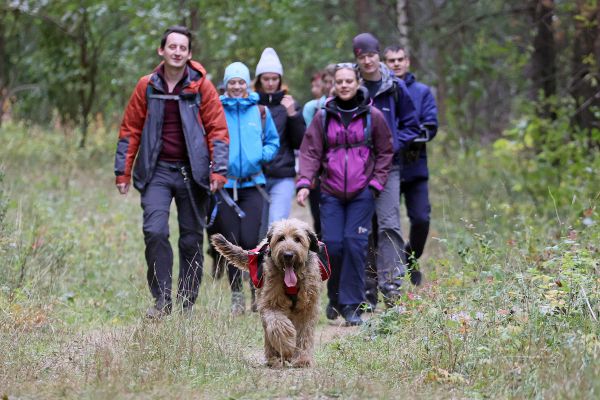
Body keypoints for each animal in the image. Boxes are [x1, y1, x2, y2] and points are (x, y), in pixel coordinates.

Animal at [211, 219, 324, 368]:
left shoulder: (307, 308)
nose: (288, 255)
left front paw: (302, 359)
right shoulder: (271, 303)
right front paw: (287, 347)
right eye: (281, 238)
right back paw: (273, 358)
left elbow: (304, 334)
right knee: (269, 332)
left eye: (298, 239)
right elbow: (278, 326)